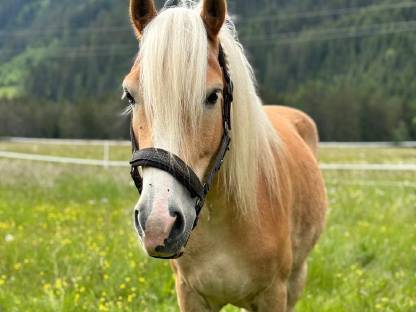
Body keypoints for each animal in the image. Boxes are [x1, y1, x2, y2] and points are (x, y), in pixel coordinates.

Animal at [122, 0, 326, 310]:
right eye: (130, 96)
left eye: (213, 96)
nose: (159, 224)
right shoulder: (190, 294)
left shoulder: (274, 294)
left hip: (296, 279)